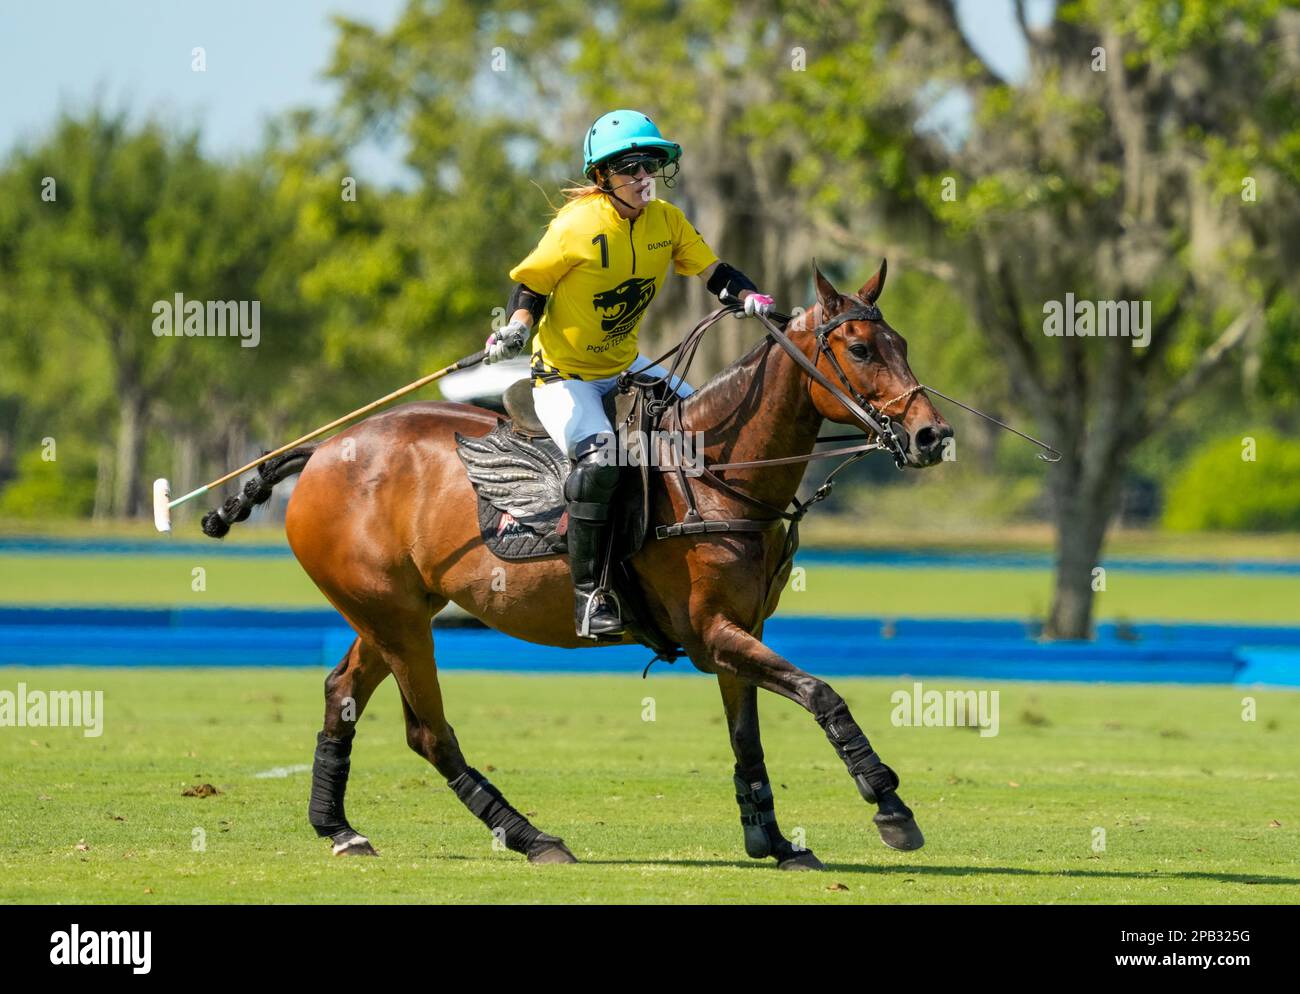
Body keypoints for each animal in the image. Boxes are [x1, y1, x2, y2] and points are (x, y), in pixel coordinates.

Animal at [218, 261, 951, 867]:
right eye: (859, 348)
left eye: (904, 345)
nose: (931, 436)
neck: (719, 471)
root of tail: (320, 451)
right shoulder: (710, 631)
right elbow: (822, 693)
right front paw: (890, 806)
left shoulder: (739, 633)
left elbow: (749, 738)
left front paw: (771, 840)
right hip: (394, 618)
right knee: (428, 732)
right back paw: (531, 837)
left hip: (390, 611)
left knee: (341, 691)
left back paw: (339, 829)